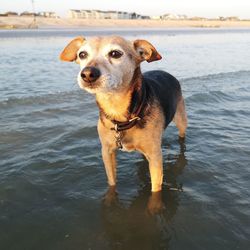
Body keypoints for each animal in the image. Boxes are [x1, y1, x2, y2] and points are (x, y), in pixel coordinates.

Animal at [59, 35, 187, 192]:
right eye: (82, 54)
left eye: (115, 53)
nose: (87, 73)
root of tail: (166, 72)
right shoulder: (107, 153)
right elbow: (111, 181)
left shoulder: (156, 158)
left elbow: (155, 190)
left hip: (181, 121)